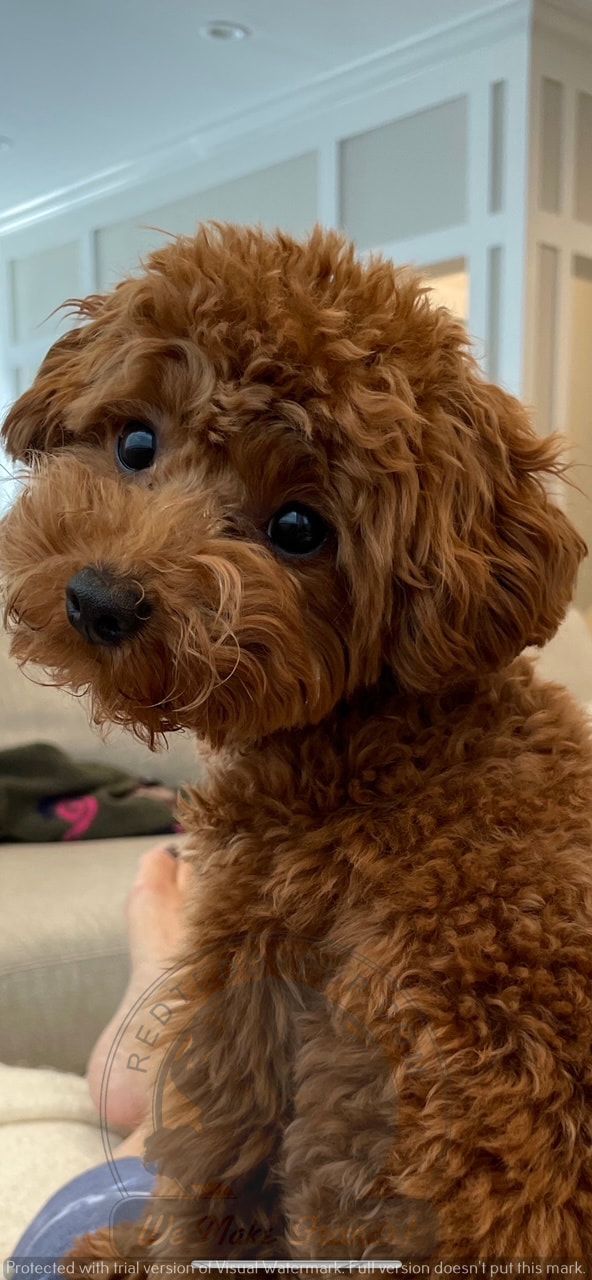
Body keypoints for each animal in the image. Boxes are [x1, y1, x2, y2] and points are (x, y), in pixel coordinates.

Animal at [1, 222, 592, 1269]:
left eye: (299, 530)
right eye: (136, 441)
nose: (99, 601)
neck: (376, 728)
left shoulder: (249, 966)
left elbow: (206, 1166)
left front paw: (134, 1253)